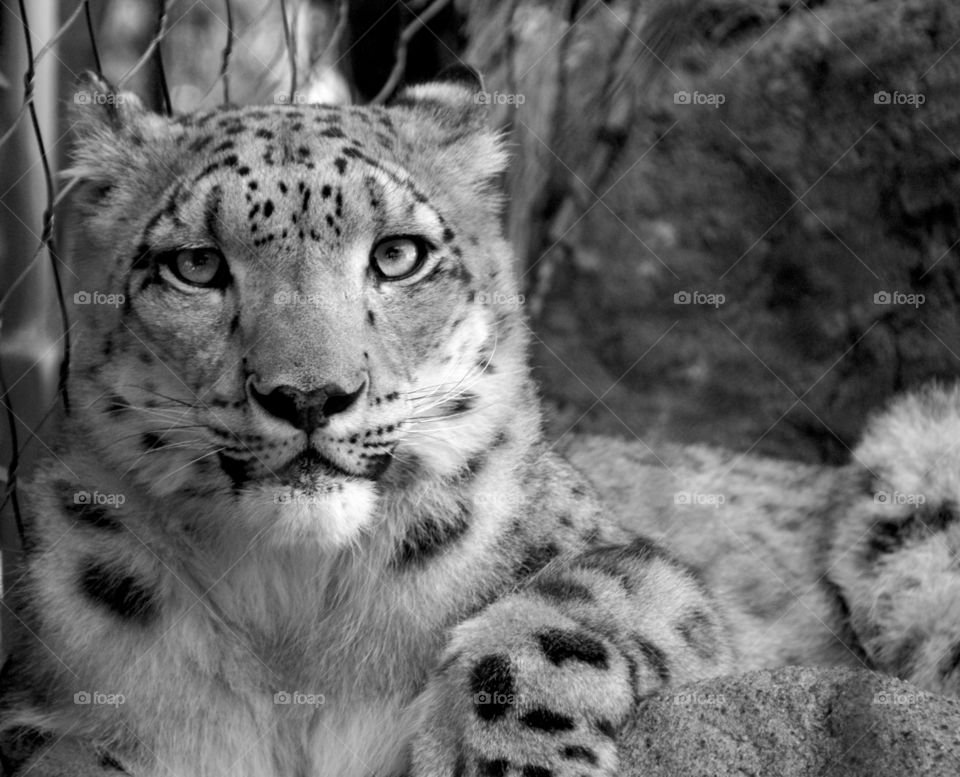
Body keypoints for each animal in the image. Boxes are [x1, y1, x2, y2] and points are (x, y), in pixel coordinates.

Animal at [0, 67, 735, 777]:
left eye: (397, 255)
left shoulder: (656, 582)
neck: (292, 605)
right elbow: (58, 751)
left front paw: (505, 760)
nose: (308, 395)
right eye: (197, 263)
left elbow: (583, 599)